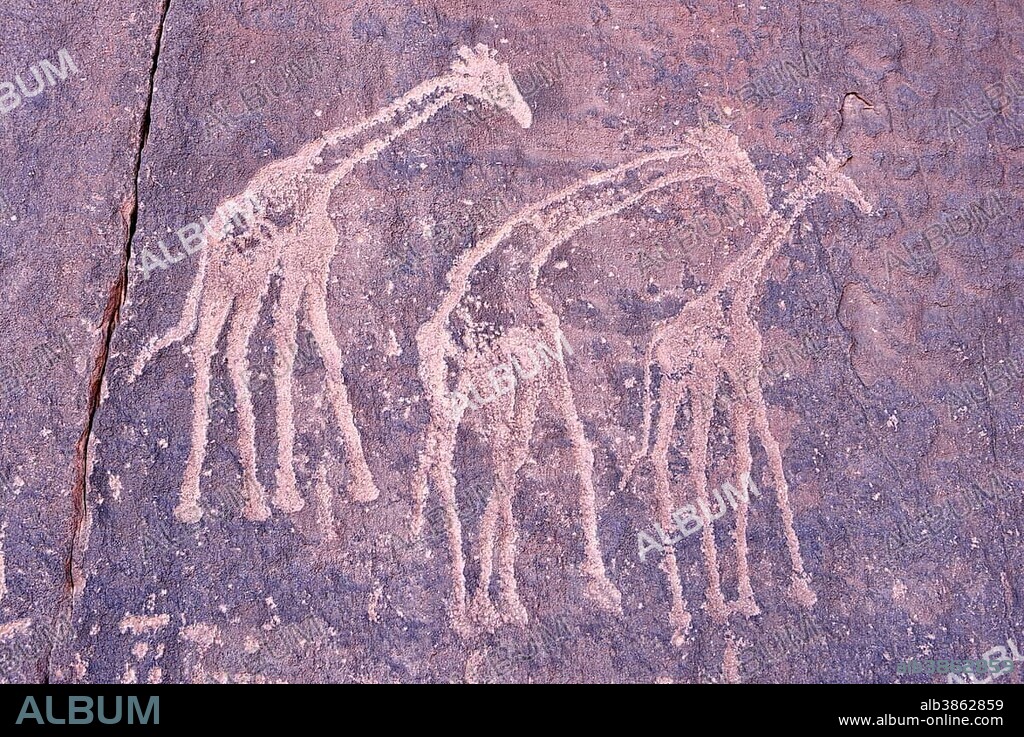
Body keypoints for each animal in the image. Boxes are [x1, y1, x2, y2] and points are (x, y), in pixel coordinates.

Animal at [129, 44, 533, 524]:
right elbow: (285, 352)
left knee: (221, 349)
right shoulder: (293, 263)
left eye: (507, 74)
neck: (321, 176)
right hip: (235, 281)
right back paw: (213, 500)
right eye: (493, 81)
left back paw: (229, 495)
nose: (527, 117)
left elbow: (327, 349)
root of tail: (209, 240)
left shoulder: (315, 265)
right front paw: (287, 492)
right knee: (217, 350)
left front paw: (362, 482)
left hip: (239, 285)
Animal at [413, 126, 771, 632]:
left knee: (460, 463)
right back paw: (470, 606)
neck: (527, 257)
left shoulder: (544, 363)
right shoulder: (532, 361)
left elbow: (569, 452)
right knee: (456, 466)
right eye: (731, 164)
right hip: (470, 389)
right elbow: (537, 460)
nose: (762, 202)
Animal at [621, 153, 872, 675]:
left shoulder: (736, 383)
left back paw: (691, 608)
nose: (868, 206)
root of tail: (655, 346)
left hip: (678, 389)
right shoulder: (743, 374)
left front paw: (748, 594)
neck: (741, 288)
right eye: (843, 179)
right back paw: (690, 611)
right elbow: (767, 457)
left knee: (663, 456)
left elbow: (744, 463)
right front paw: (792, 587)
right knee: (676, 460)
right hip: (685, 384)